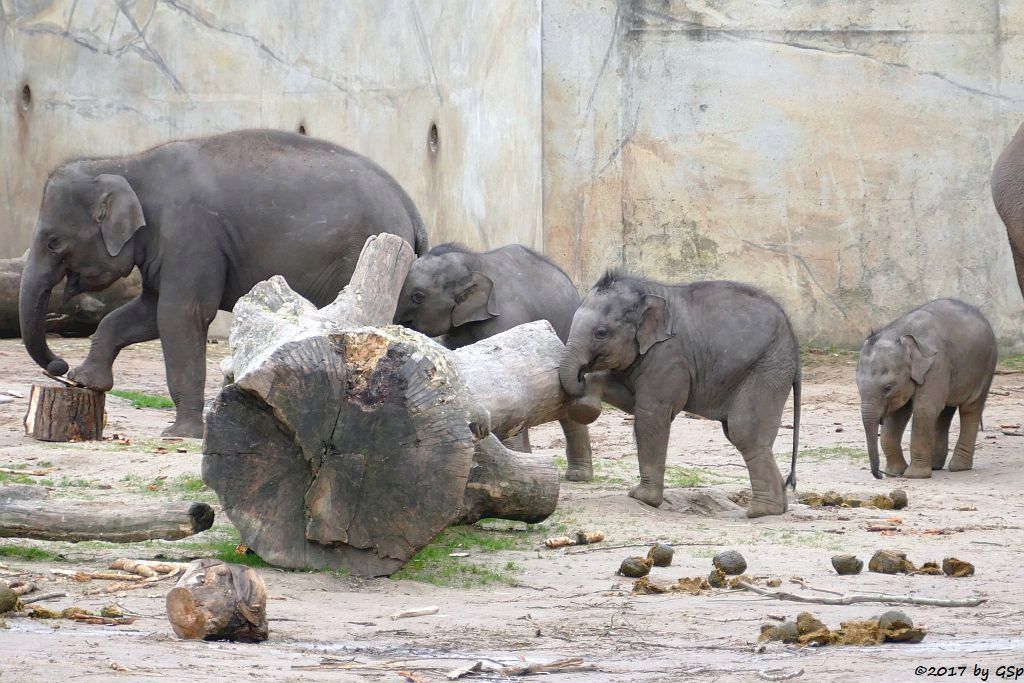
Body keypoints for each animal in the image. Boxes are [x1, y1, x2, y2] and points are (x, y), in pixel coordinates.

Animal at [19, 129, 428, 438]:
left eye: (53, 242)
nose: (57, 367)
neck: (124, 163)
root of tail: (411, 209)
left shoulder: (191, 233)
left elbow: (179, 315)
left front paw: (179, 434)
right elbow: (145, 314)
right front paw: (86, 382)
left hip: (359, 257)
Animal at [557, 272, 794, 518]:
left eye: (600, 333)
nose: (580, 375)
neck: (646, 293)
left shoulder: (668, 355)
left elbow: (650, 414)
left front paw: (642, 498)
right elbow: (631, 400)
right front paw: (585, 408)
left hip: (768, 368)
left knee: (745, 433)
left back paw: (761, 511)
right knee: (742, 434)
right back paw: (779, 506)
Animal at [856, 299, 991, 481]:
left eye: (887, 388)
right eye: (858, 386)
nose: (880, 475)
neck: (900, 333)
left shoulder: (937, 364)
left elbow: (924, 410)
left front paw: (914, 475)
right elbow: (898, 414)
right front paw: (896, 472)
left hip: (985, 367)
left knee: (970, 409)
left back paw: (958, 467)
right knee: (945, 411)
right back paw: (935, 465)